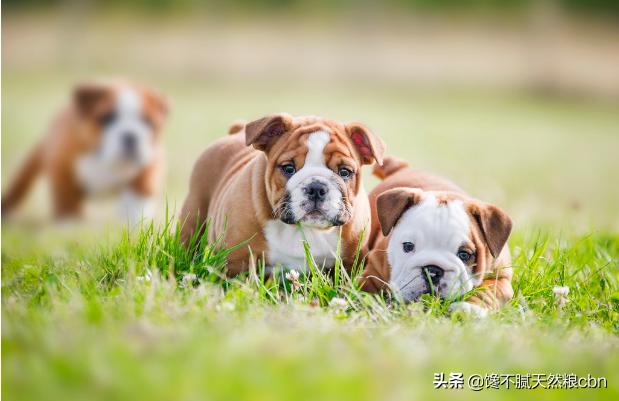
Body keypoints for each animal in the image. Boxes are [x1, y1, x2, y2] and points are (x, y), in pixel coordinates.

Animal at [1, 78, 168, 222]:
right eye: (107, 118)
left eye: (148, 122)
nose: (131, 135)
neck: (104, 159)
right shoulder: (62, 167)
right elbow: (67, 201)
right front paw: (70, 226)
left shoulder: (150, 161)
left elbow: (139, 195)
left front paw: (136, 222)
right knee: (21, 181)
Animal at [177, 112, 386, 276]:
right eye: (288, 168)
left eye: (344, 172)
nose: (316, 188)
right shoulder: (236, 260)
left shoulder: (350, 262)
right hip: (194, 212)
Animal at [360, 156, 516, 316]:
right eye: (408, 246)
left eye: (464, 255)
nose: (432, 270)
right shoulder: (374, 271)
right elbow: (366, 287)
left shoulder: (501, 278)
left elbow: (487, 292)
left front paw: (469, 307)